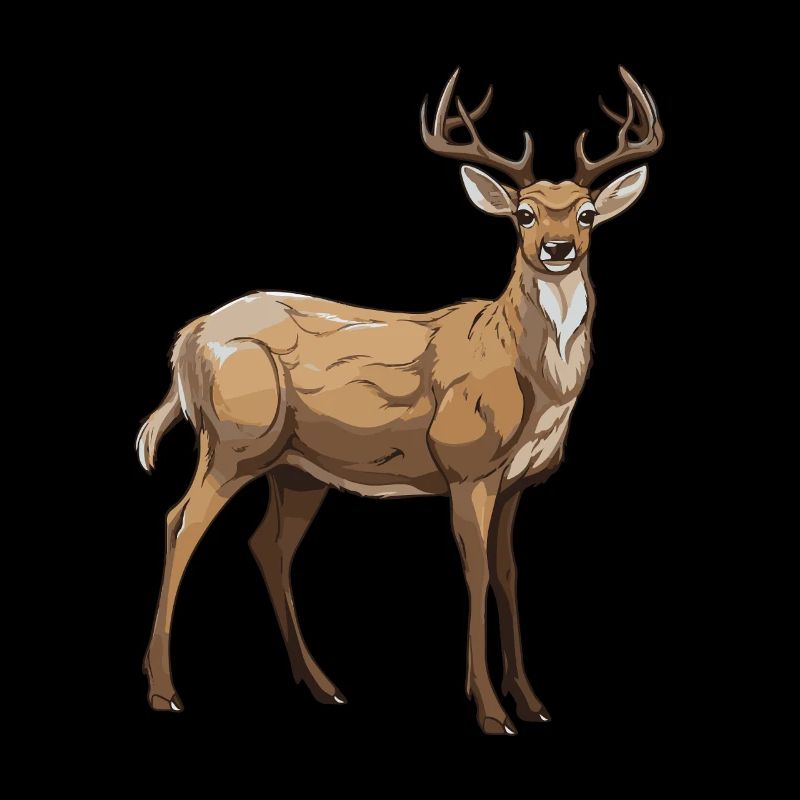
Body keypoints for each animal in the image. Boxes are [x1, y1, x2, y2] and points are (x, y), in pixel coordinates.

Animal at [138, 66, 662, 735]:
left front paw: (532, 703)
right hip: (234, 440)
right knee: (180, 522)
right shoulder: (466, 466)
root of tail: (189, 337)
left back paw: (324, 687)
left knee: (268, 545)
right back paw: (164, 691)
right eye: (522, 214)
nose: (557, 249)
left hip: (297, 469)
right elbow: (476, 575)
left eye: (588, 213)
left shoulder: (518, 481)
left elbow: (510, 575)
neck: (529, 380)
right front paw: (491, 711)